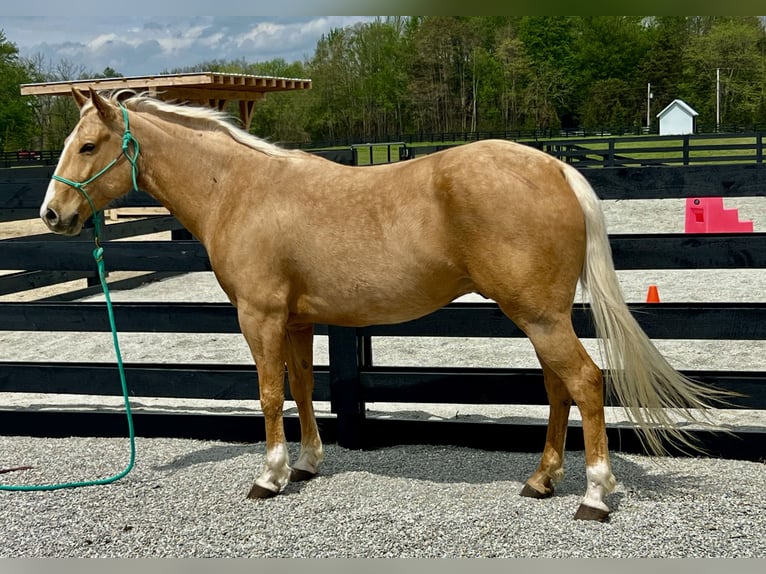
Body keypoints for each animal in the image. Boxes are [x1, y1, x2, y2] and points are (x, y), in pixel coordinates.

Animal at [40, 88, 723, 521]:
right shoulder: (299, 320)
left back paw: (595, 497)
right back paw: (541, 480)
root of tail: (555, 168)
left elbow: (268, 393)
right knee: (560, 388)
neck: (239, 190)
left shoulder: (260, 317)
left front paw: (269, 475)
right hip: (539, 318)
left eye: (88, 145)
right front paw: (307, 464)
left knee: (583, 382)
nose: (51, 214)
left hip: (541, 317)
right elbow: (303, 388)